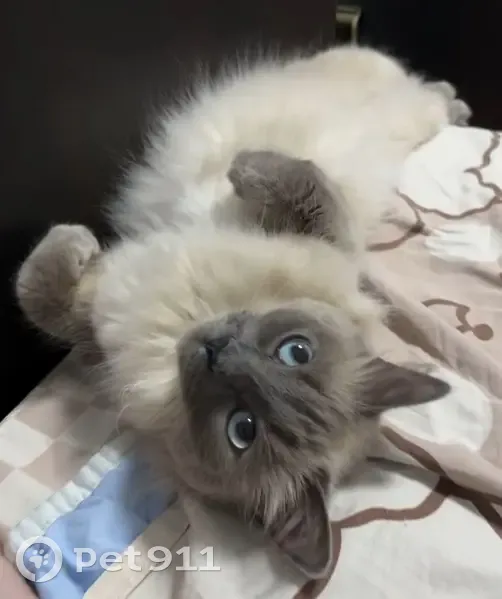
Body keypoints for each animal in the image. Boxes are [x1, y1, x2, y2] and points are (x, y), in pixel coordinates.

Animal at [16, 44, 466, 580]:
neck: (192, 313)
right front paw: (240, 166)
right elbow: (296, 177)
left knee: (425, 98)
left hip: (406, 115)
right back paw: (457, 102)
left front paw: (70, 240)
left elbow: (39, 290)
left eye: (242, 429)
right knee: (423, 88)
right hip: (383, 91)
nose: (219, 351)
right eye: (296, 352)